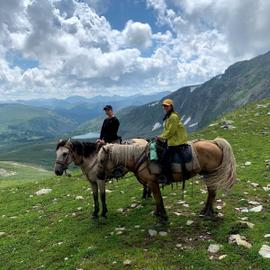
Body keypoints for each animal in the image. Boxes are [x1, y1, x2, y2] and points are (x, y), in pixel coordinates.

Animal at [95, 138, 236, 223]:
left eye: (101, 160)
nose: (99, 176)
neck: (140, 158)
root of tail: (215, 142)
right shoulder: (152, 184)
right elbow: (157, 199)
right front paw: (158, 213)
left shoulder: (152, 183)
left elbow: (158, 199)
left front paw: (163, 217)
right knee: (211, 193)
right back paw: (206, 211)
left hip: (210, 174)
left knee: (212, 193)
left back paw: (207, 212)